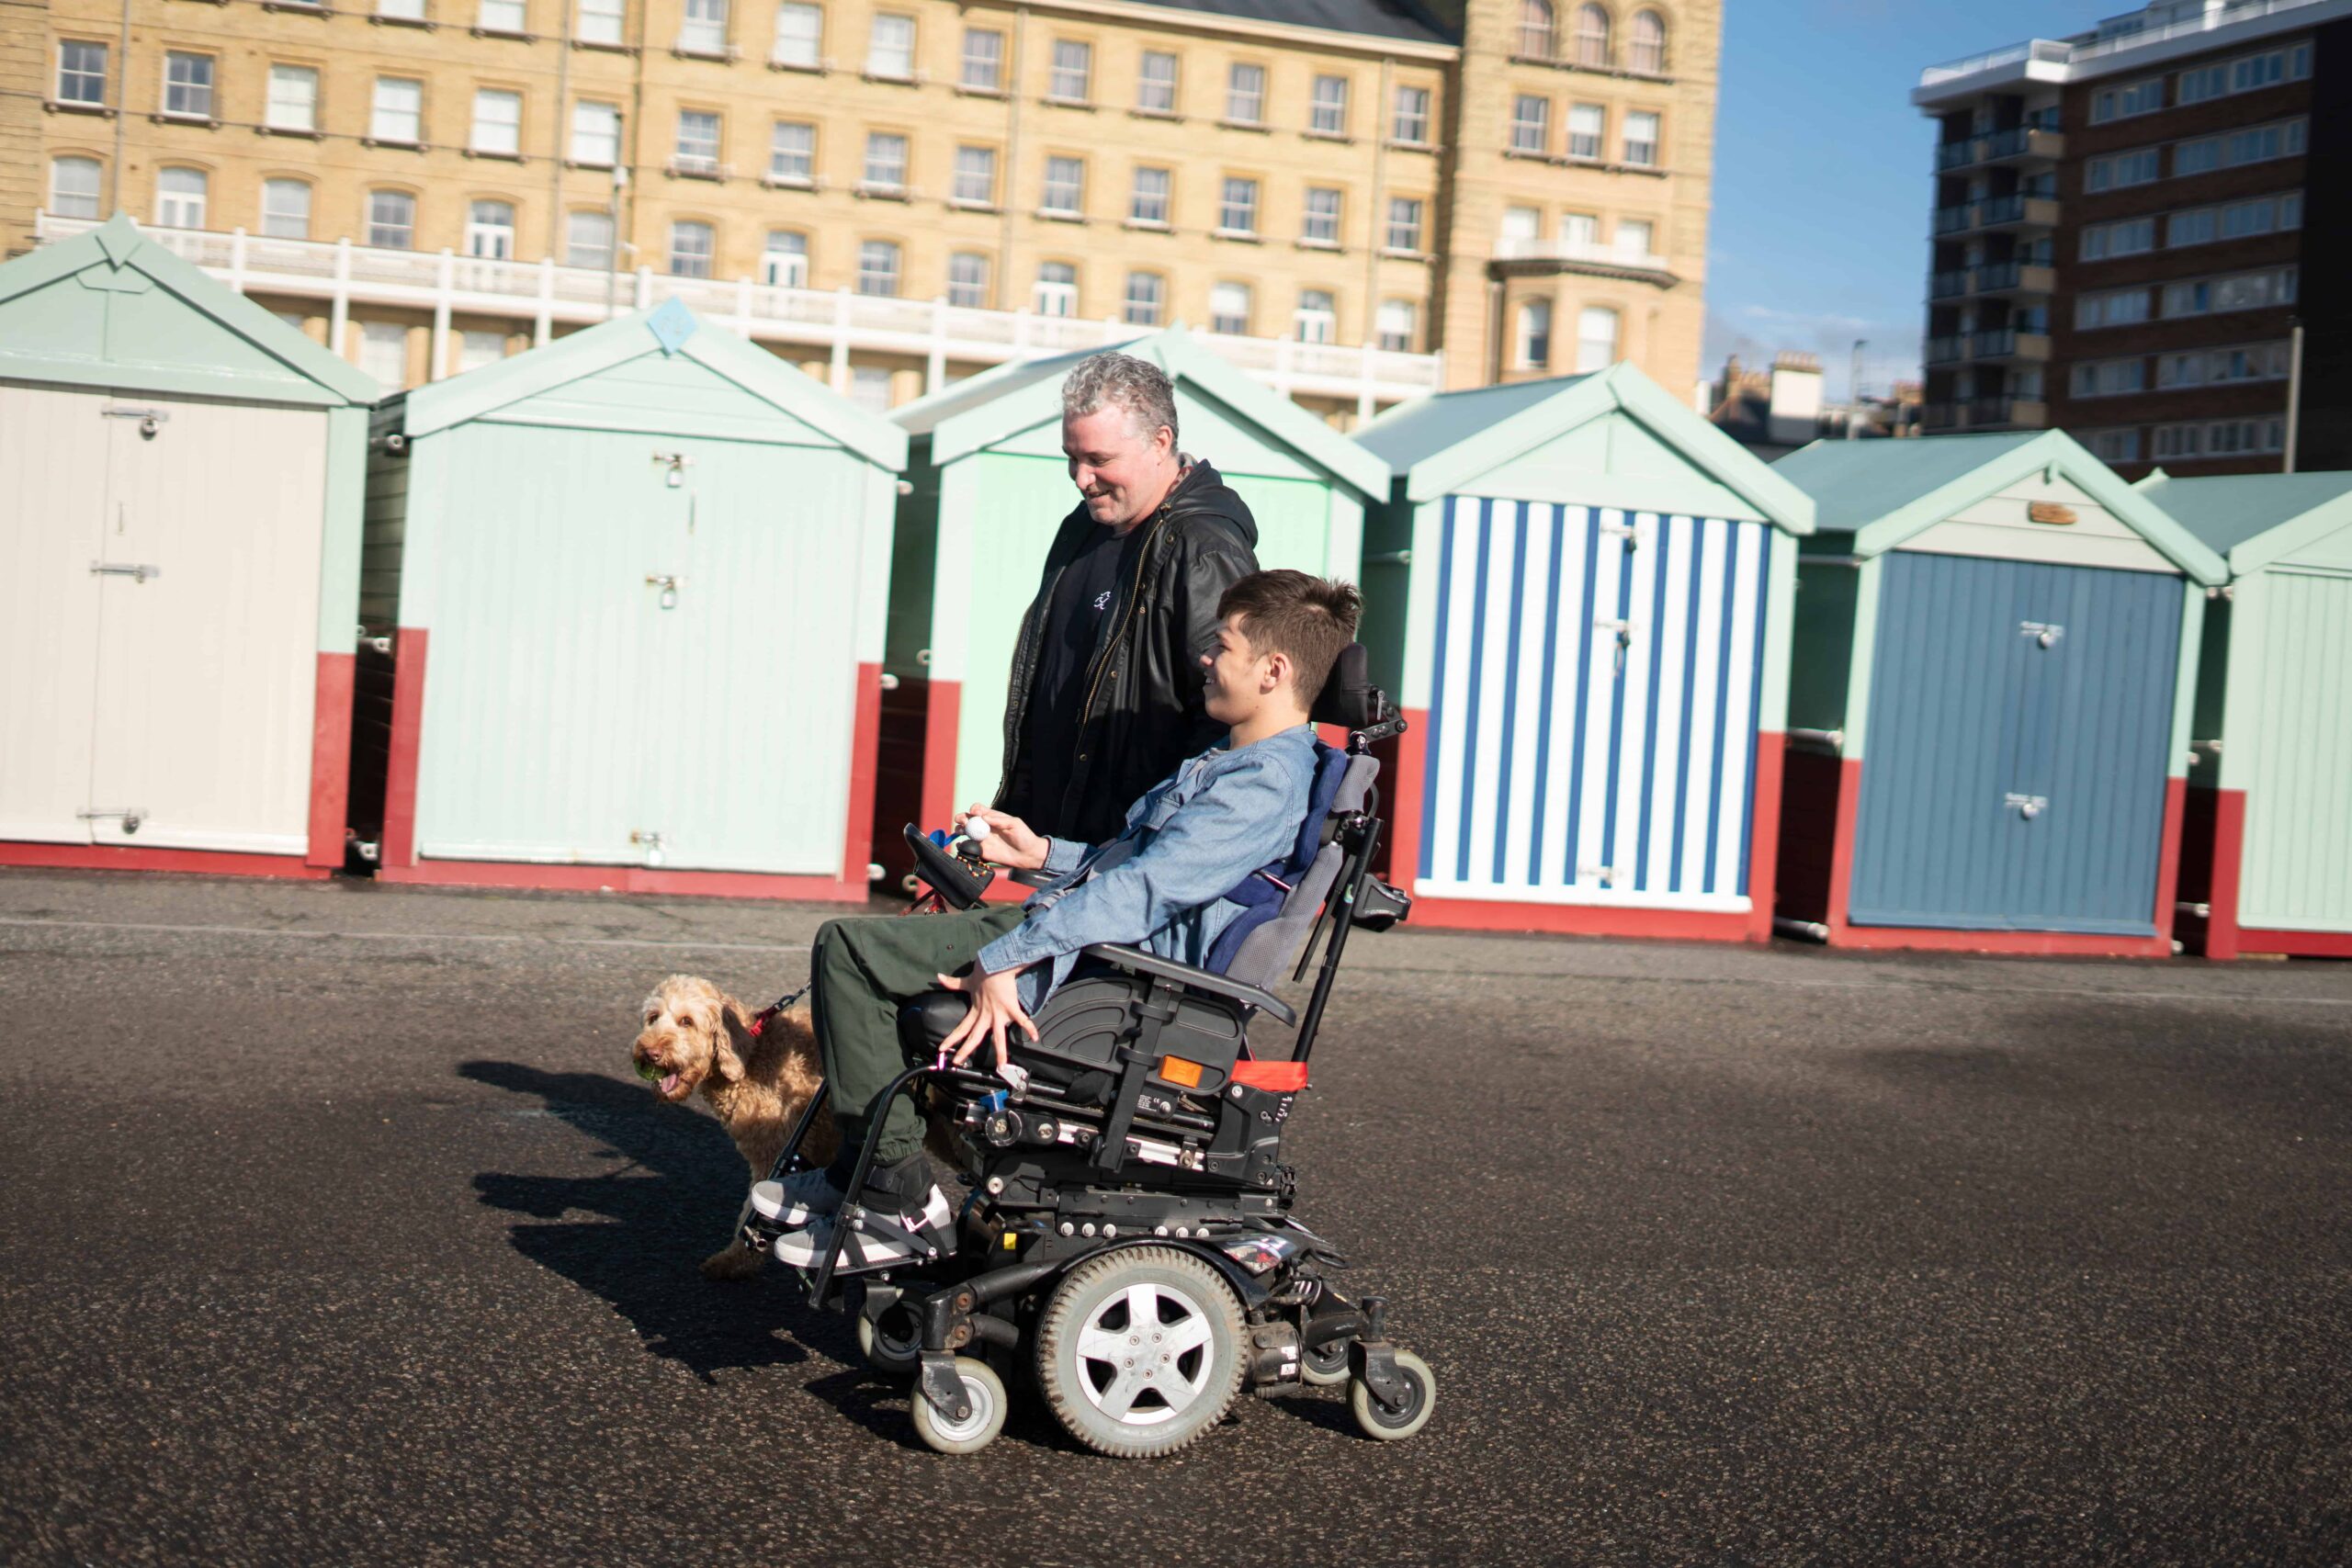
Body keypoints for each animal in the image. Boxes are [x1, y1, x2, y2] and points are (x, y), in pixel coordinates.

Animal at [630, 973, 959, 1279]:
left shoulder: (772, 1153)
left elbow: (750, 1214)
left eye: (686, 1021)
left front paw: (734, 1260)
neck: (750, 1054)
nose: (651, 1053)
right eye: (653, 1018)